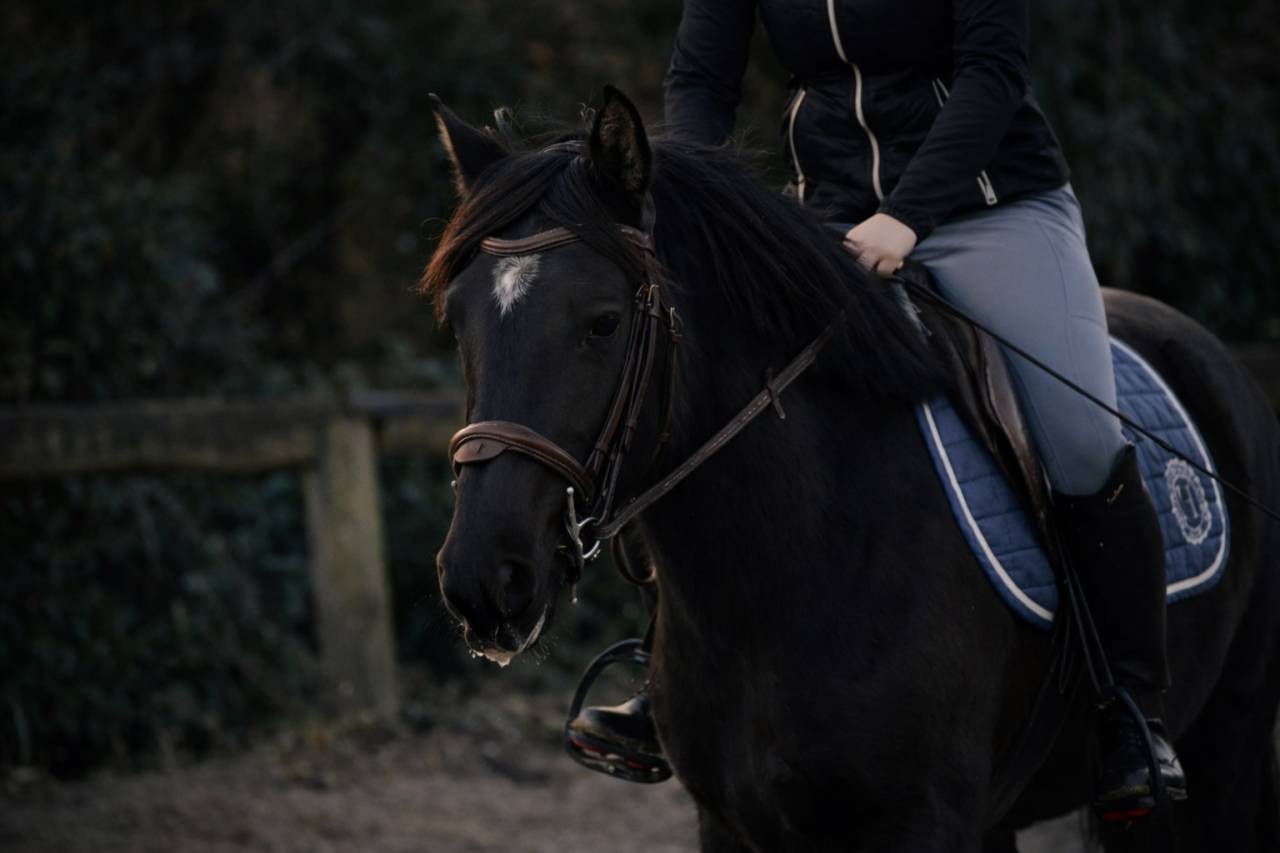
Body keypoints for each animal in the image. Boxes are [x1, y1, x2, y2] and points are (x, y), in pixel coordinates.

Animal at [424, 86, 1280, 851]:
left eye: (601, 323)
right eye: (460, 320)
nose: (484, 579)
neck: (789, 566)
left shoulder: (919, 823)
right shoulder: (730, 824)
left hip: (1224, 756)